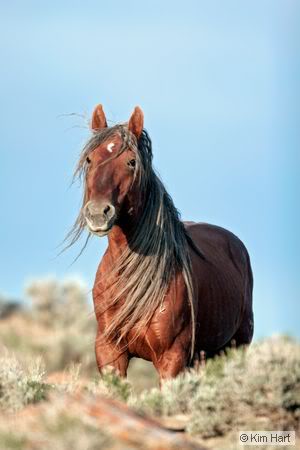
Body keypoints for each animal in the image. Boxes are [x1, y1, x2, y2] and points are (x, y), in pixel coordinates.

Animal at [68, 103, 253, 378]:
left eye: (131, 161)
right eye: (90, 159)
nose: (98, 213)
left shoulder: (171, 358)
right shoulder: (110, 353)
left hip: (236, 347)